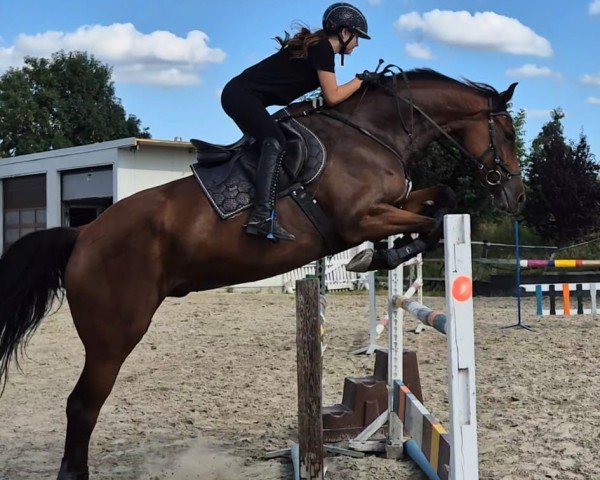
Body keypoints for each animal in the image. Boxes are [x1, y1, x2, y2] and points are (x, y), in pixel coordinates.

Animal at [0, 68, 524, 480]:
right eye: (508, 134)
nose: (514, 196)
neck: (372, 133)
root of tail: (83, 234)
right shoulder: (361, 218)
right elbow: (432, 223)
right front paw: (381, 256)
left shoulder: (391, 205)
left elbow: (440, 199)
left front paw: (383, 254)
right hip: (114, 334)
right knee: (82, 404)